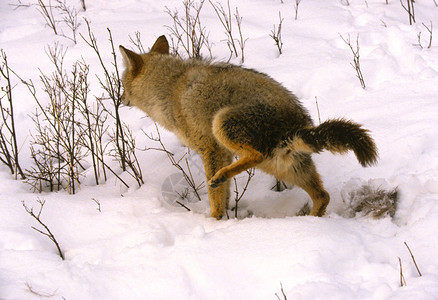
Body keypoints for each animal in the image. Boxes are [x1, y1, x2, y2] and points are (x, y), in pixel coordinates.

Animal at [119, 35, 376, 219]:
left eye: (121, 83)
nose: (119, 100)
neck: (171, 89)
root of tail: (296, 125)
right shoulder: (222, 153)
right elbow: (225, 196)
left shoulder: (211, 150)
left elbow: (215, 198)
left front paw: (213, 222)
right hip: (286, 167)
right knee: (323, 196)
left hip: (223, 124)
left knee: (255, 156)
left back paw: (220, 177)